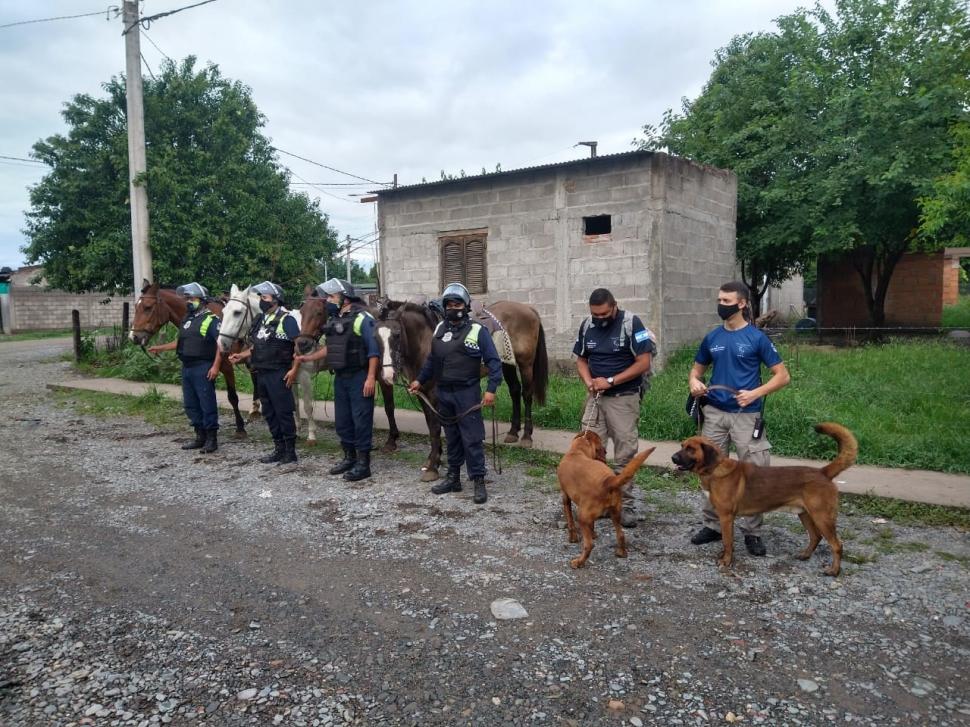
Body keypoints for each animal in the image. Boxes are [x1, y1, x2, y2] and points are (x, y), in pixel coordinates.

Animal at [129, 282, 250, 436]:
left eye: (148, 307)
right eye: (136, 307)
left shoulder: (226, 365)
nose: (134, 337)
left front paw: (240, 427)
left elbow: (232, 397)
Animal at [374, 302, 548, 484]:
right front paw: (434, 459)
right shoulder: (422, 392)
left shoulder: (435, 394)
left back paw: (526, 437)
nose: (387, 375)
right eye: (375, 336)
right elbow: (432, 425)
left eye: (397, 334)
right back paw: (513, 432)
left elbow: (436, 427)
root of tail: (528, 309)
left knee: (526, 395)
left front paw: (433, 467)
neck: (425, 342)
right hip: (506, 364)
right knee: (514, 391)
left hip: (525, 363)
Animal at [556, 432, 656, 568]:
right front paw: (593, 534)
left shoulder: (565, 497)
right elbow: (592, 525)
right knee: (621, 535)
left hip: (582, 517)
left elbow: (571, 522)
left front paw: (573, 539)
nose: (605, 453)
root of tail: (608, 481)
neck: (577, 451)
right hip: (615, 513)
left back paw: (578, 562)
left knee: (589, 545)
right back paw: (621, 553)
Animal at [672, 424, 856, 576]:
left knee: (837, 545)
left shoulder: (726, 517)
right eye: (682, 446)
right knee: (815, 536)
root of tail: (823, 472)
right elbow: (727, 541)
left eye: (690, 449)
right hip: (805, 515)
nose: (673, 458)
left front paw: (726, 561)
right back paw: (805, 555)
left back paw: (834, 571)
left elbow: (727, 542)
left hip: (822, 518)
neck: (715, 468)